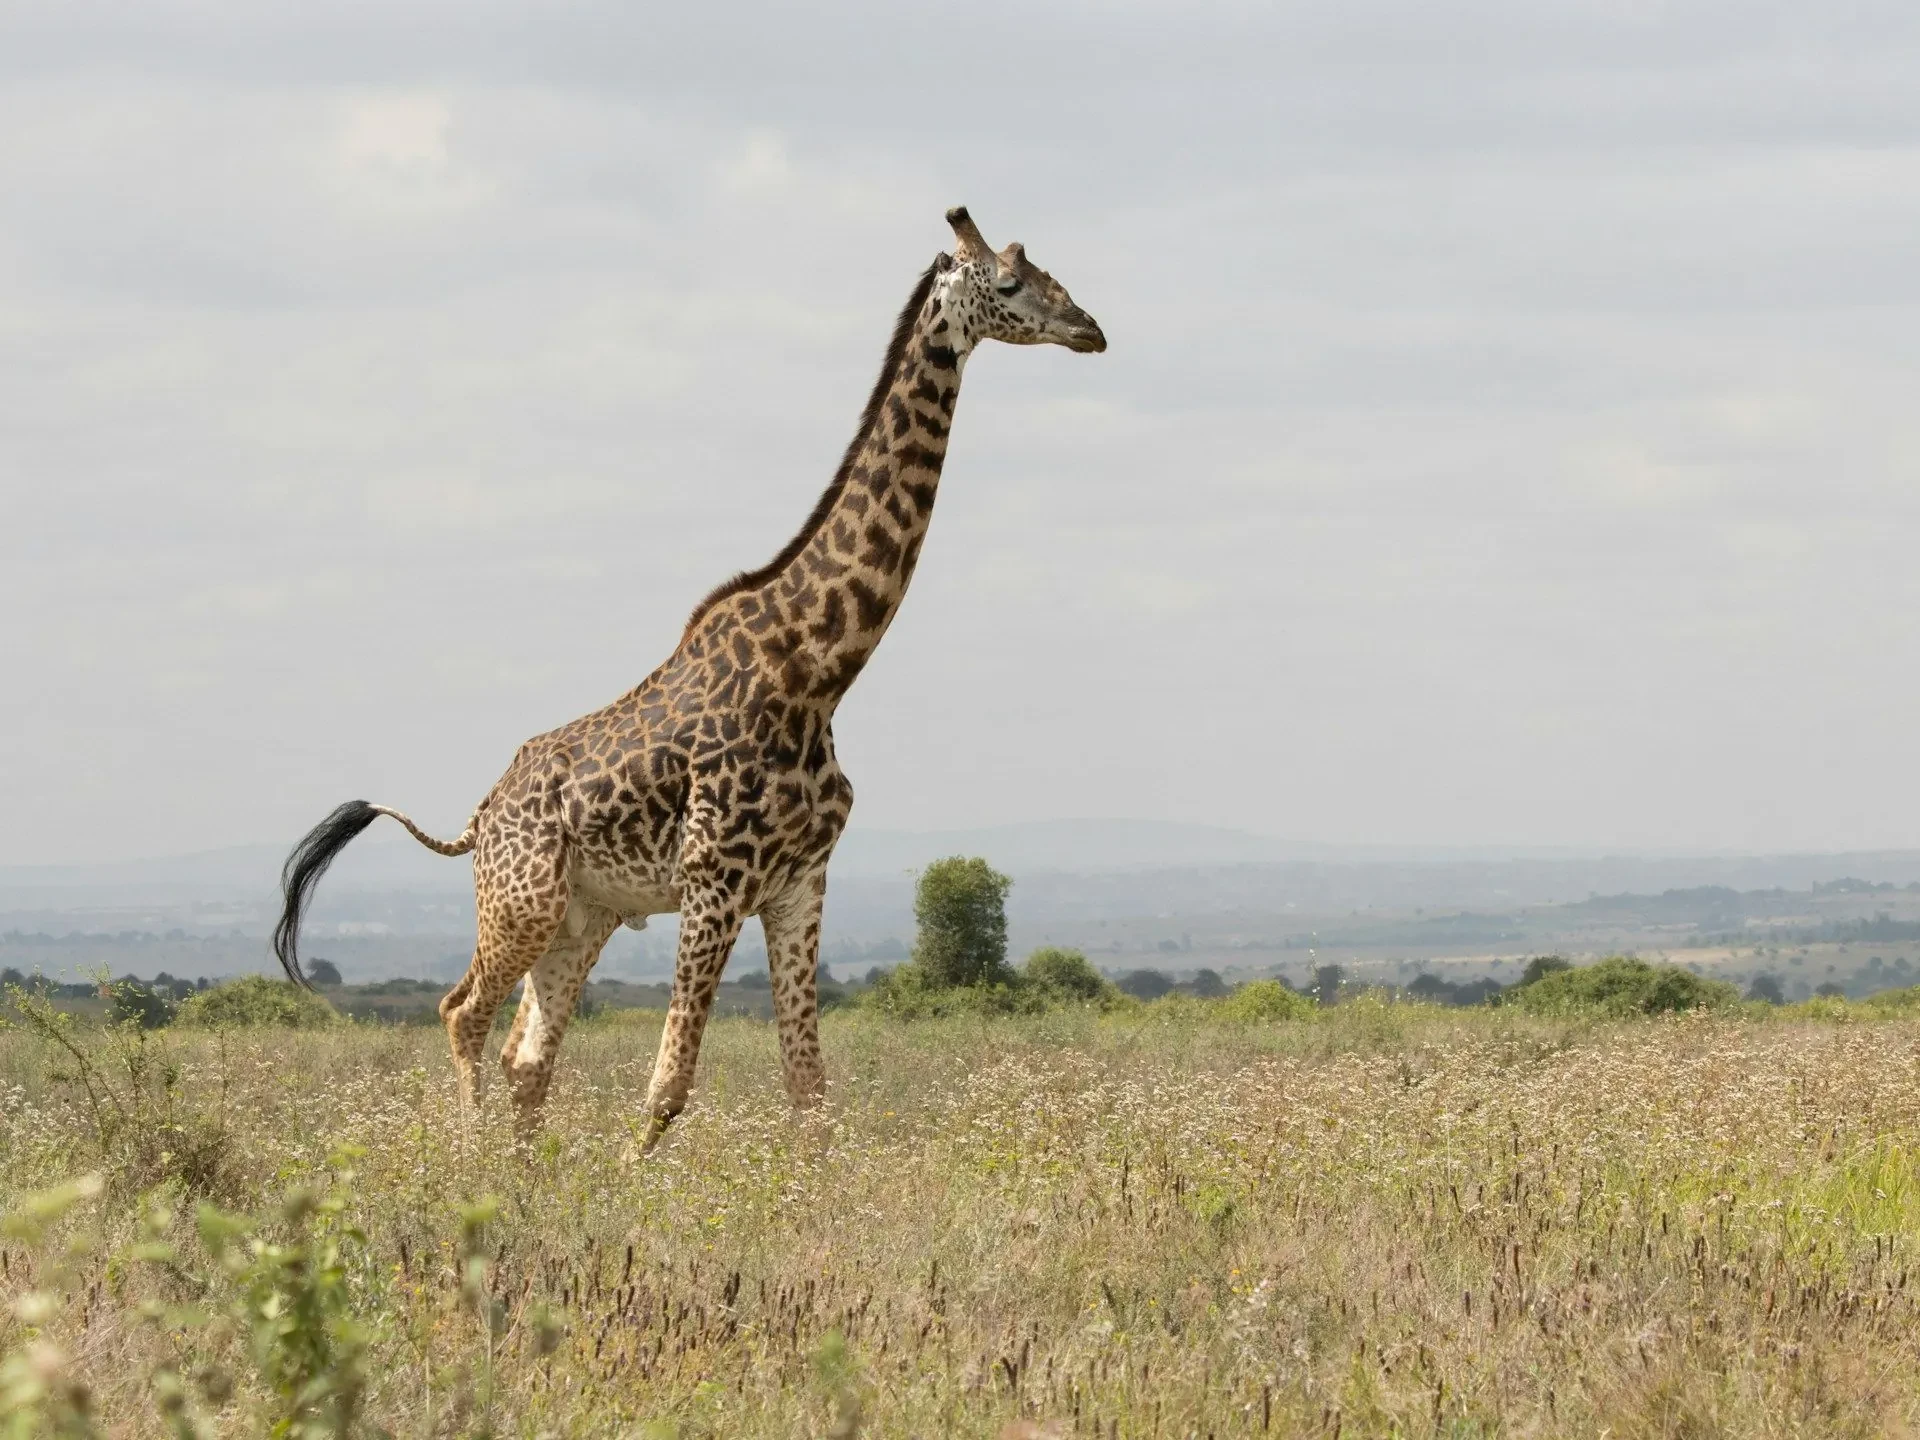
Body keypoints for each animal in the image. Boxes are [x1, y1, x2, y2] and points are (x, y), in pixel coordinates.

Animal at [272, 206, 1105, 1139]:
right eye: (1010, 283)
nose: (1090, 329)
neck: (818, 671)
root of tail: (480, 816)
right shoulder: (715, 879)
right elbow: (668, 1084)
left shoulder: (799, 883)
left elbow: (809, 1090)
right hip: (522, 901)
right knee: (462, 1013)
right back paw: (469, 1162)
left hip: (584, 914)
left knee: (528, 1056)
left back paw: (523, 1171)